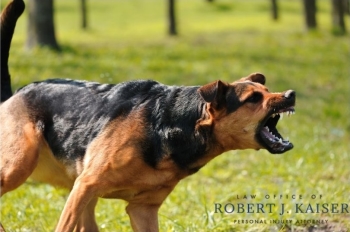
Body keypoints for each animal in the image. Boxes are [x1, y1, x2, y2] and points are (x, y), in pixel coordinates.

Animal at [0, 0, 296, 231]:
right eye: (253, 98)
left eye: (267, 90)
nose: (291, 94)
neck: (173, 125)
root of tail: (13, 95)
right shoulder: (86, 185)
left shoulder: (141, 209)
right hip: (20, 166)